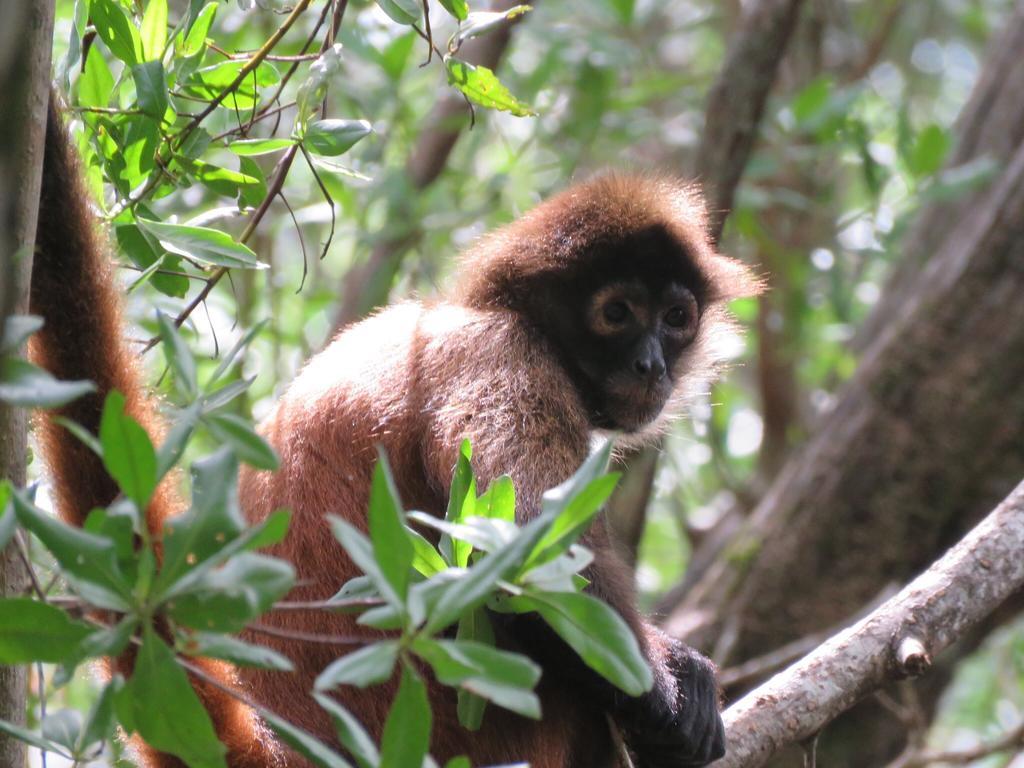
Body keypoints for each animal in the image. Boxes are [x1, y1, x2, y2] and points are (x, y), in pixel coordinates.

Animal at [29, 93, 761, 765]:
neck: (493, 308)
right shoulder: (500, 356)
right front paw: (673, 697)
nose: (651, 365)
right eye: (617, 314)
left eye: (675, 318)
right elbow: (516, 559)